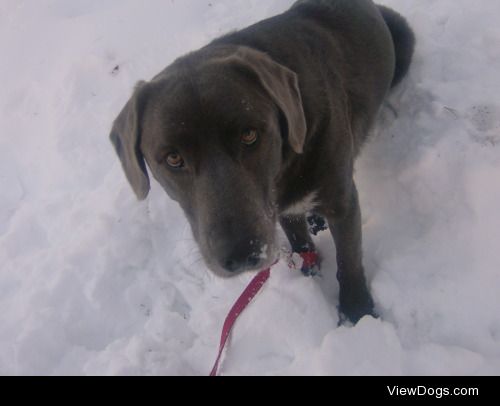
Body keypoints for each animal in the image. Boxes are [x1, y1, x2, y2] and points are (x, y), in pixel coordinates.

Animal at [109, 0, 414, 324]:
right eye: (173, 157)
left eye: (249, 134)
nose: (242, 255)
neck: (285, 167)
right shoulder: (279, 205)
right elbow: (298, 238)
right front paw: (310, 272)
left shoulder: (341, 201)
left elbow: (349, 258)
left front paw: (357, 312)